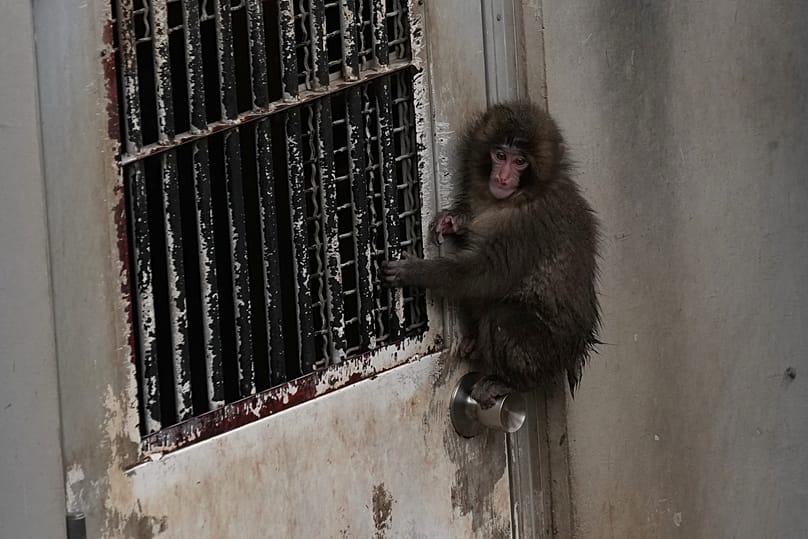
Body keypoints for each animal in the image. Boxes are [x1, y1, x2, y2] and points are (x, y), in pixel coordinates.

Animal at [383, 101, 600, 408]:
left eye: (520, 161)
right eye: (500, 155)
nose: (503, 177)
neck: (521, 197)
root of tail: (576, 353)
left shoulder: (525, 228)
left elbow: (482, 276)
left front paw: (416, 272)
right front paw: (455, 220)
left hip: (547, 353)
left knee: (502, 316)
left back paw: (511, 383)